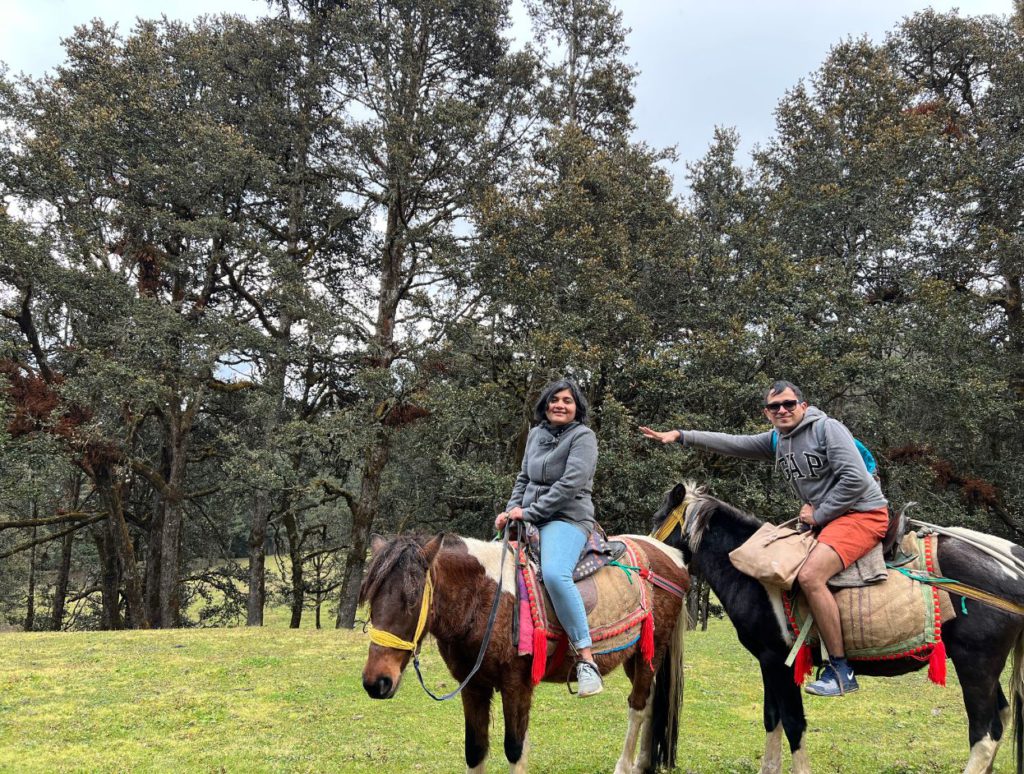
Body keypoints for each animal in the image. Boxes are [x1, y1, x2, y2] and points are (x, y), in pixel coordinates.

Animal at [360, 532, 688, 774]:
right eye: (371, 598)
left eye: (413, 600)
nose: (376, 682)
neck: (485, 599)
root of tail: (673, 557)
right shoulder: (473, 686)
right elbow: (475, 749)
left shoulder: (516, 685)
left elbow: (515, 749)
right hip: (634, 655)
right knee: (651, 703)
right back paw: (643, 764)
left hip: (650, 652)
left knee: (638, 706)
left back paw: (625, 766)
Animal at [651, 481, 1024, 769]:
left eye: (657, 518)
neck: (750, 569)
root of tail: (1013, 563)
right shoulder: (768, 663)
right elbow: (772, 718)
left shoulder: (779, 661)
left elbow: (793, 724)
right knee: (1001, 719)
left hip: (975, 662)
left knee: (985, 733)